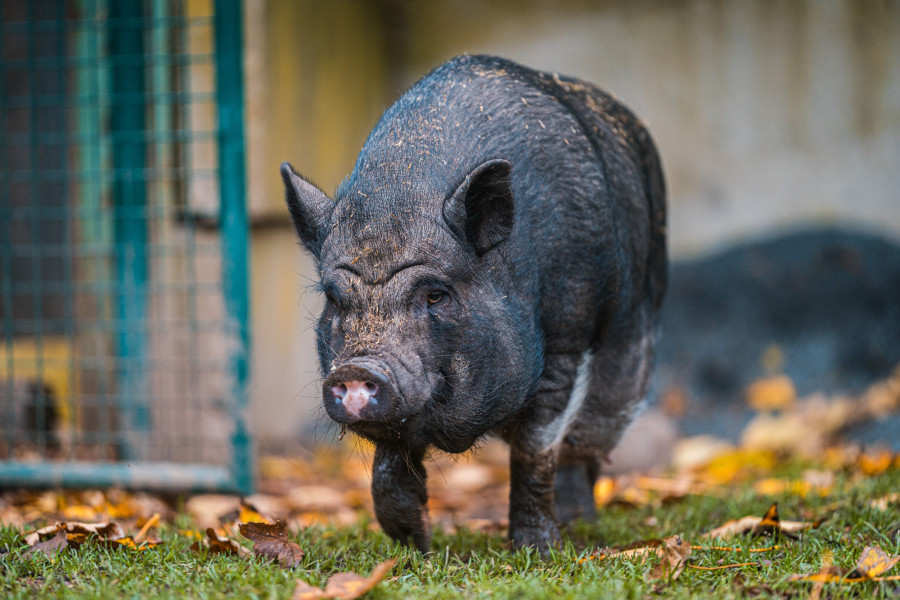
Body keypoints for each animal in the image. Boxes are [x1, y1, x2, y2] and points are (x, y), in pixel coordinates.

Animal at [281, 54, 666, 552]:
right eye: (333, 298)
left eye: (436, 293)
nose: (355, 369)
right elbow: (390, 458)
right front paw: (413, 545)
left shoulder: (565, 338)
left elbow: (536, 448)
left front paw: (537, 550)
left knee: (587, 440)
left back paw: (580, 525)